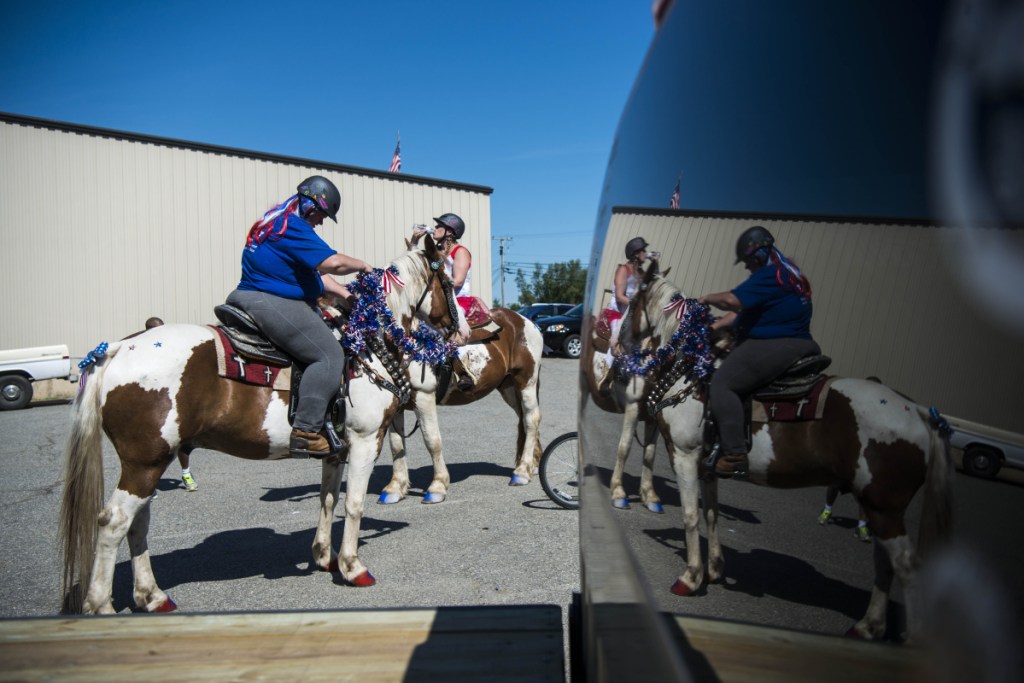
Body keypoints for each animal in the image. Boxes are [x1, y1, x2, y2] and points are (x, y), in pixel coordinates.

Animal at [58, 242, 468, 618]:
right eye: (448, 281)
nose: (462, 330)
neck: (367, 342)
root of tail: (116, 349)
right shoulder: (365, 440)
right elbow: (353, 504)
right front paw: (352, 567)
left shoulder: (335, 450)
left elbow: (327, 499)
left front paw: (324, 557)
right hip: (145, 462)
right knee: (114, 521)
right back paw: (101, 605)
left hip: (153, 461)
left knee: (138, 523)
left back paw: (152, 596)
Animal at [380, 307, 548, 505]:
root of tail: (524, 321)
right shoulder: (397, 405)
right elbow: (396, 445)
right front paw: (395, 488)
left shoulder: (424, 398)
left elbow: (432, 441)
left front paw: (437, 488)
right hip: (509, 388)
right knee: (527, 419)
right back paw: (532, 466)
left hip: (526, 382)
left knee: (531, 420)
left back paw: (521, 472)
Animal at [606, 264, 950, 638]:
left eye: (633, 300)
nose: (619, 347)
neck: (691, 367)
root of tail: (919, 412)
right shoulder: (708, 466)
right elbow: (712, 513)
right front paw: (715, 569)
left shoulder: (685, 455)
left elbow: (691, 515)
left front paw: (691, 577)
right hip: (877, 507)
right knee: (885, 564)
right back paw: (868, 626)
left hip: (884, 507)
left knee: (905, 566)